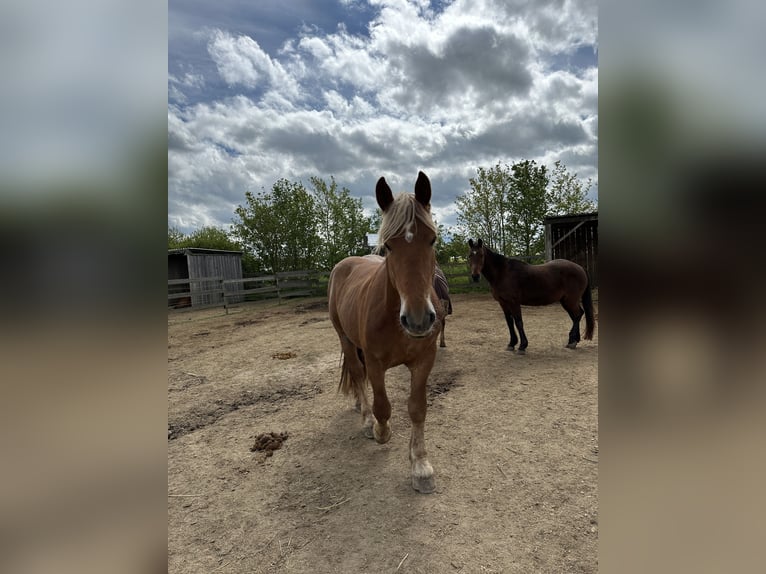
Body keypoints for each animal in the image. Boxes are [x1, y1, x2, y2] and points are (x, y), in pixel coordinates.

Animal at [328, 172, 440, 496]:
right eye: (389, 246)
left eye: (432, 239)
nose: (418, 320)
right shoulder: (375, 362)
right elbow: (383, 406)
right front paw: (380, 430)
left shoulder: (425, 360)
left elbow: (417, 408)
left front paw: (420, 465)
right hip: (345, 338)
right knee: (357, 373)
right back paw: (365, 418)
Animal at [464, 237, 596, 354]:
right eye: (470, 255)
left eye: (481, 255)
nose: (475, 276)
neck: (503, 273)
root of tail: (580, 268)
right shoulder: (503, 303)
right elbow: (509, 322)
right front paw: (511, 344)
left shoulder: (514, 302)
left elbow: (518, 322)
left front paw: (522, 346)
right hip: (565, 301)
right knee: (576, 316)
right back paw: (573, 341)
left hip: (570, 300)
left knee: (578, 315)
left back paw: (572, 341)